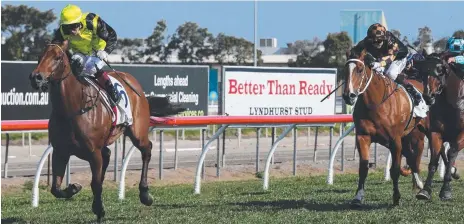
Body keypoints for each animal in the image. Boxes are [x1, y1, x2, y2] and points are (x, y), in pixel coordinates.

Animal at [28, 39, 185, 220]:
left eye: (58, 57)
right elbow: (56, 188)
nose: (36, 77)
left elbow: (95, 183)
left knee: (147, 150)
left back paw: (145, 194)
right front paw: (74, 188)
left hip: (137, 132)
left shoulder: (93, 152)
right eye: (39, 56)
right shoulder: (60, 151)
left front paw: (99, 209)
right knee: (108, 154)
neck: (71, 110)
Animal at [340, 50, 428, 207]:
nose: (348, 96)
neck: (374, 104)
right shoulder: (363, 137)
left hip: (417, 135)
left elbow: (395, 169)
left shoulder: (395, 140)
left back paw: (420, 185)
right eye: (345, 70)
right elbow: (363, 167)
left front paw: (396, 197)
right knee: (411, 157)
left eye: (360, 69)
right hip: (405, 137)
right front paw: (358, 197)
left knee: (416, 157)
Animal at [414, 53, 464, 201]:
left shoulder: (462, 134)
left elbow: (451, 153)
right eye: (423, 73)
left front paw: (446, 190)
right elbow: (434, 161)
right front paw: (425, 190)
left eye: (440, 72)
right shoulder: (435, 133)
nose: (428, 96)